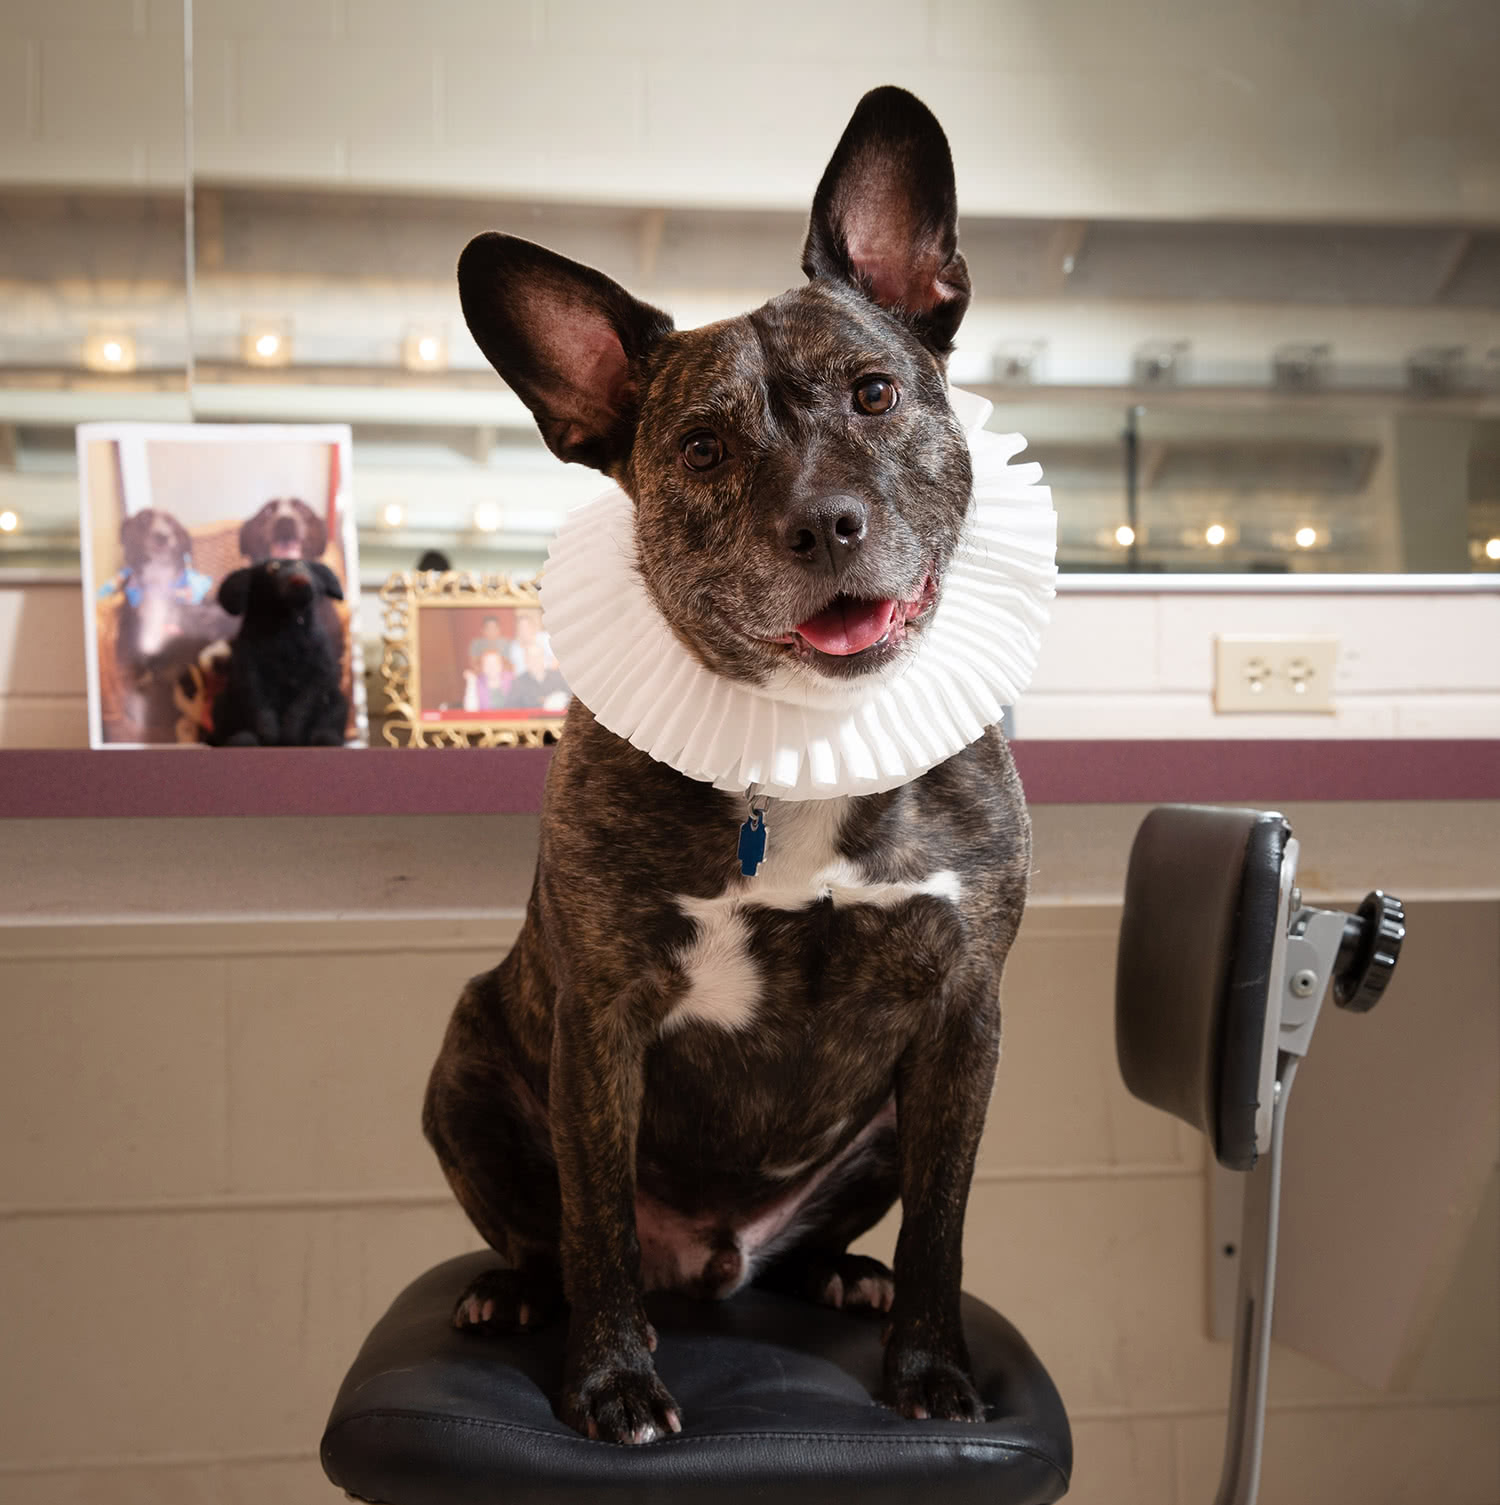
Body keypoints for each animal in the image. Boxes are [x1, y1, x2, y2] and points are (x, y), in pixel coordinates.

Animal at [421, 85, 1029, 1444]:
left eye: (874, 394)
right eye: (701, 450)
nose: (826, 521)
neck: (803, 736)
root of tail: (710, 1262)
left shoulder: (962, 1014)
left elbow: (948, 1225)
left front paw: (929, 1368)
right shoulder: (600, 1019)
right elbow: (594, 1221)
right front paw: (611, 1383)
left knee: (832, 1240)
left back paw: (843, 1273)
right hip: (467, 1061)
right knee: (555, 1241)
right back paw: (515, 1295)